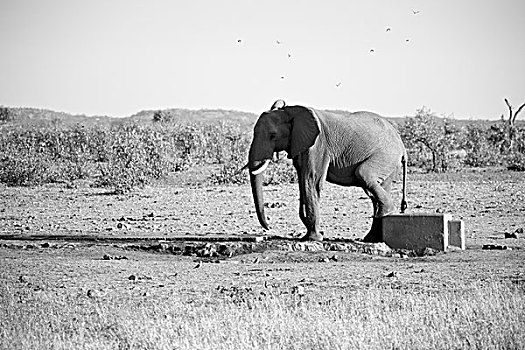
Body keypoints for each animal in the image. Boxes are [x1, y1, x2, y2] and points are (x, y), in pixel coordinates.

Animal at [248, 100, 408, 242]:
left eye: (273, 135)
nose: (268, 228)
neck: (291, 111)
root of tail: (401, 144)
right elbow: (302, 182)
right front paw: (308, 236)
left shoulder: (318, 145)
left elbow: (311, 180)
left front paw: (313, 239)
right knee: (377, 189)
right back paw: (371, 239)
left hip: (385, 155)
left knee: (363, 175)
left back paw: (386, 213)